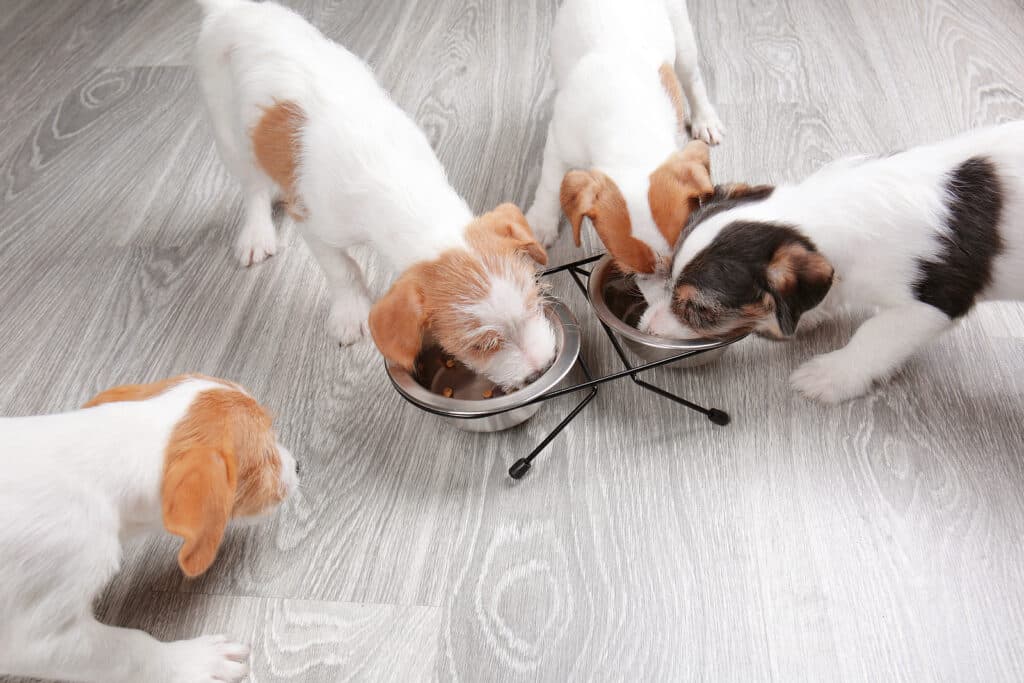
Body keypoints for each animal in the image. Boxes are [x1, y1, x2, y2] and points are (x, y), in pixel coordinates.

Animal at [194, 0, 557, 389]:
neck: (398, 180)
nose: (541, 367)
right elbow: (341, 268)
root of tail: (231, 10)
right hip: (226, 130)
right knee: (253, 187)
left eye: (535, 301)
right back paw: (256, 232)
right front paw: (351, 312)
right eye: (482, 345)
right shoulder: (313, 222)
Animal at [528, 0, 720, 274]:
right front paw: (541, 225)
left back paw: (705, 118)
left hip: (682, 38)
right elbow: (550, 186)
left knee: (692, 79)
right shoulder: (559, 143)